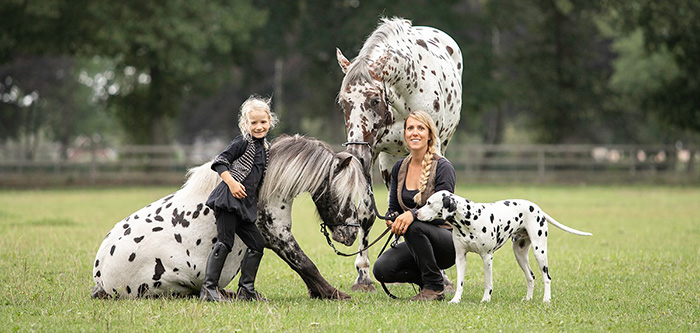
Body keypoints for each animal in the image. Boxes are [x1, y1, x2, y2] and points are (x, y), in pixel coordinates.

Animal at [92, 134, 372, 298]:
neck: (262, 187)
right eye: (345, 196)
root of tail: (100, 277)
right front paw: (332, 293)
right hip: (174, 282)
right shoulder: (277, 234)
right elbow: (304, 263)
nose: (350, 234)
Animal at [334, 16, 462, 290]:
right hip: (388, 162)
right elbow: (367, 214)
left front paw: (443, 276)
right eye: (343, 102)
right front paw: (363, 276)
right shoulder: (373, 153)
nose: (355, 154)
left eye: (374, 100)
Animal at [412, 189, 592, 300]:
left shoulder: (487, 257)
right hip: (520, 254)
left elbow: (488, 283)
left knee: (546, 277)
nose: (416, 213)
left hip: (539, 251)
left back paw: (546, 299)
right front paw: (456, 300)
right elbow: (460, 283)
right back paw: (528, 299)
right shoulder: (460, 257)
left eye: (429, 203)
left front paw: (486, 299)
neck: (469, 218)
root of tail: (538, 209)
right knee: (531, 277)